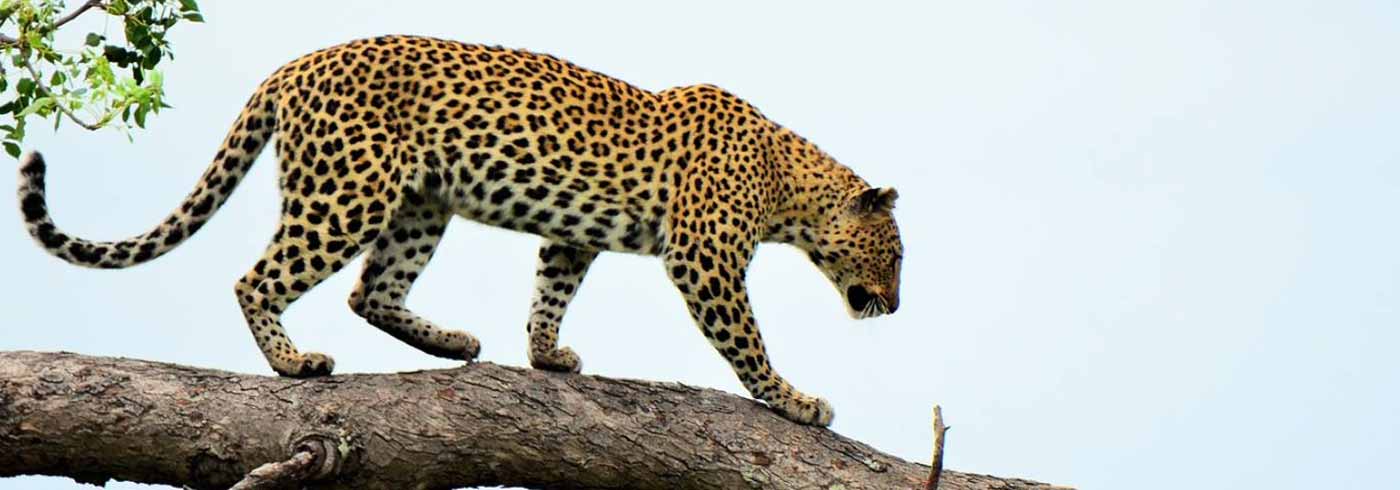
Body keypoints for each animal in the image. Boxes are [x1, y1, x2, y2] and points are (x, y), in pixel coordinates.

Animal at [16, 35, 903, 426]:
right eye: (894, 254)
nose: (894, 306)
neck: (789, 185)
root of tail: (293, 65)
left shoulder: (574, 235)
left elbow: (552, 288)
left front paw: (546, 357)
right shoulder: (705, 257)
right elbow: (747, 341)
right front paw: (795, 401)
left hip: (419, 204)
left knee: (373, 290)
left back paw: (451, 343)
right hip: (347, 193)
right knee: (257, 279)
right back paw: (295, 364)